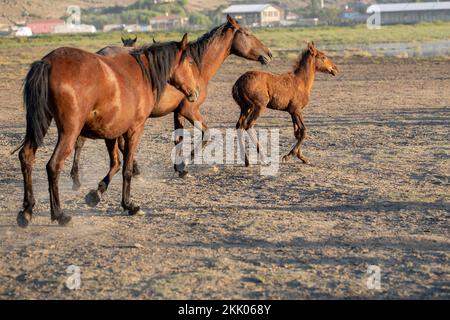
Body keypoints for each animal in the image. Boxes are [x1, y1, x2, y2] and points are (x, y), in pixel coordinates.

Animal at [15, 33, 200, 228]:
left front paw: (97, 193)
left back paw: (27, 210)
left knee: (26, 156)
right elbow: (126, 168)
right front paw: (129, 205)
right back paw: (59, 214)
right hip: (69, 132)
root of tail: (48, 62)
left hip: (40, 124)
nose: (195, 92)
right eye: (189, 62)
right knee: (53, 165)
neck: (144, 72)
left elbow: (116, 163)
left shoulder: (111, 132)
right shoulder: (134, 130)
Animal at [68, 14, 272, 205]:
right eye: (247, 33)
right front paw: (184, 164)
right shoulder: (191, 110)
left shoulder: (179, 112)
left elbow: (178, 139)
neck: (197, 67)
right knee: (86, 141)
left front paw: (179, 167)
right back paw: (81, 179)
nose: (268, 54)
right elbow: (207, 134)